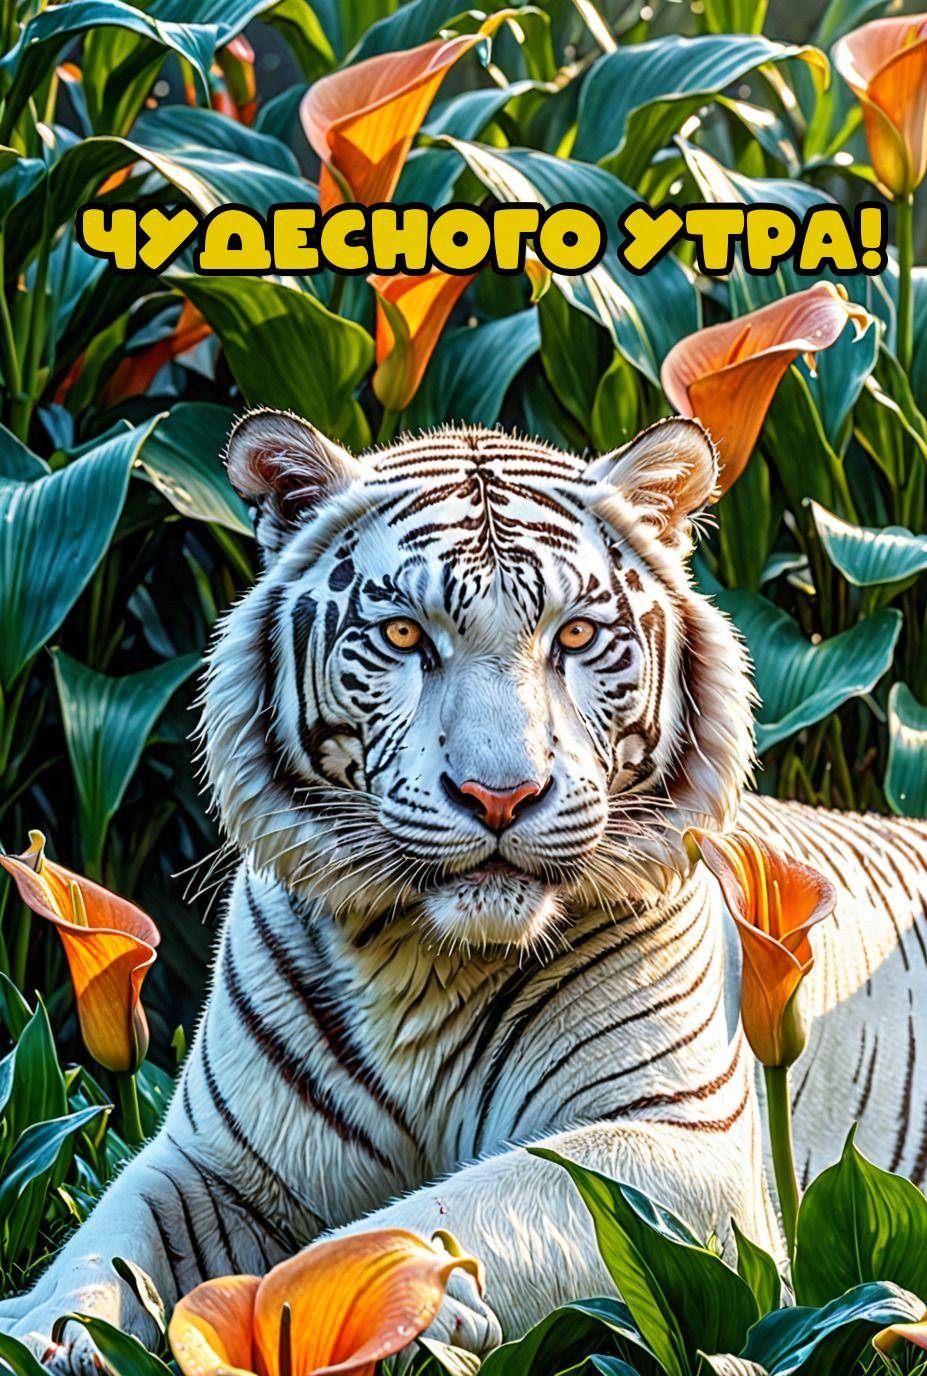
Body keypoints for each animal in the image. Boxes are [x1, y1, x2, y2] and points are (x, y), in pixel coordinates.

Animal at [4, 411, 927, 1373]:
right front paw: (49, 1331)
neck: (421, 961)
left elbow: (470, 1201)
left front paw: (357, 1293)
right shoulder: (210, 1158)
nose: (500, 795)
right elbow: (104, 1243)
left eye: (573, 637)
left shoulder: (683, 1151)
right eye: (406, 637)